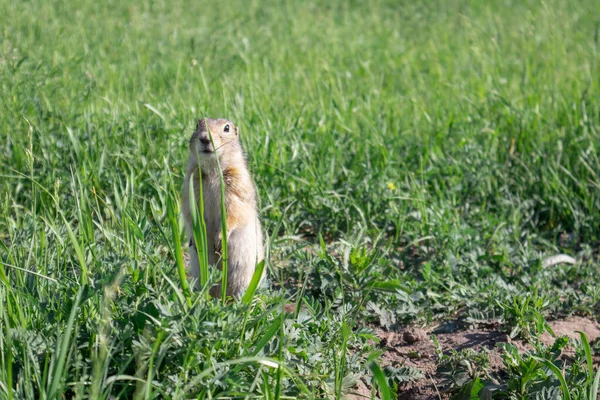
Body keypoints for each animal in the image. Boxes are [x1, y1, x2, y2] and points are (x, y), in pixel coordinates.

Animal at [182, 117, 264, 296]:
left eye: (227, 128)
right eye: (197, 125)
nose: (205, 138)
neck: (213, 170)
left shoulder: (237, 187)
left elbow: (234, 212)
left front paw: (220, 238)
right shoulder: (190, 186)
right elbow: (189, 213)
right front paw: (195, 237)